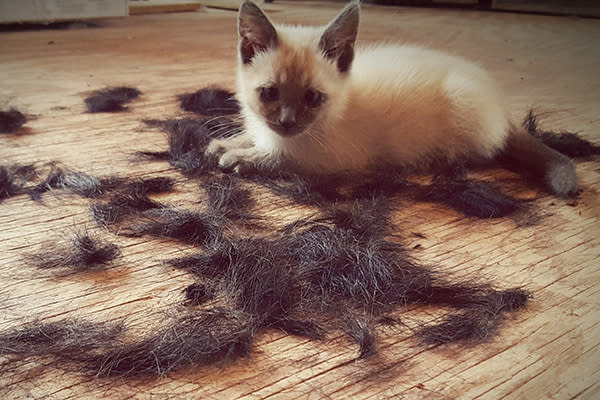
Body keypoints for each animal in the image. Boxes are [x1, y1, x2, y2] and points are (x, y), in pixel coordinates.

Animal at [207, 0, 576, 197]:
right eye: (269, 93)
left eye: (312, 97)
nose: (286, 122)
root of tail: (499, 101)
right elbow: (254, 135)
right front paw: (227, 144)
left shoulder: (333, 160)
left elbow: (283, 159)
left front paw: (242, 158)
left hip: (461, 109)